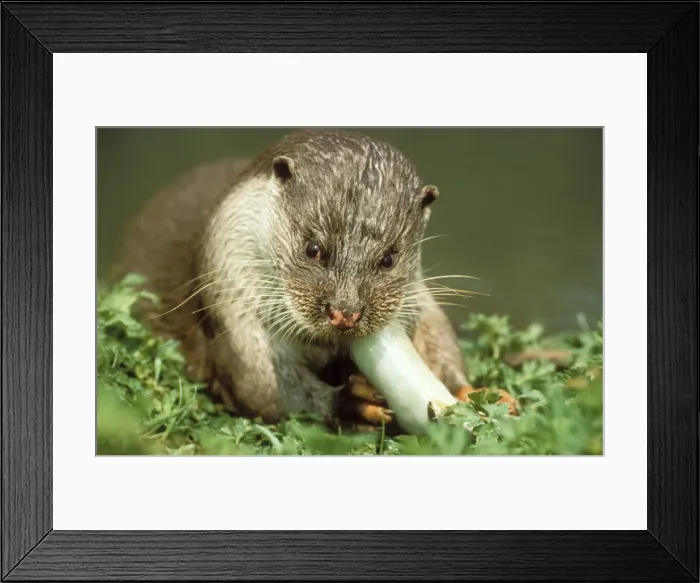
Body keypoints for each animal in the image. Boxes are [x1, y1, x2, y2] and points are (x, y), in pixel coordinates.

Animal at [115, 129, 516, 432]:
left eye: (389, 258)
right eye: (313, 248)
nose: (345, 313)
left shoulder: (421, 302)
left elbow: (441, 346)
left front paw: (479, 395)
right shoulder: (234, 318)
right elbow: (264, 392)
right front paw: (350, 402)